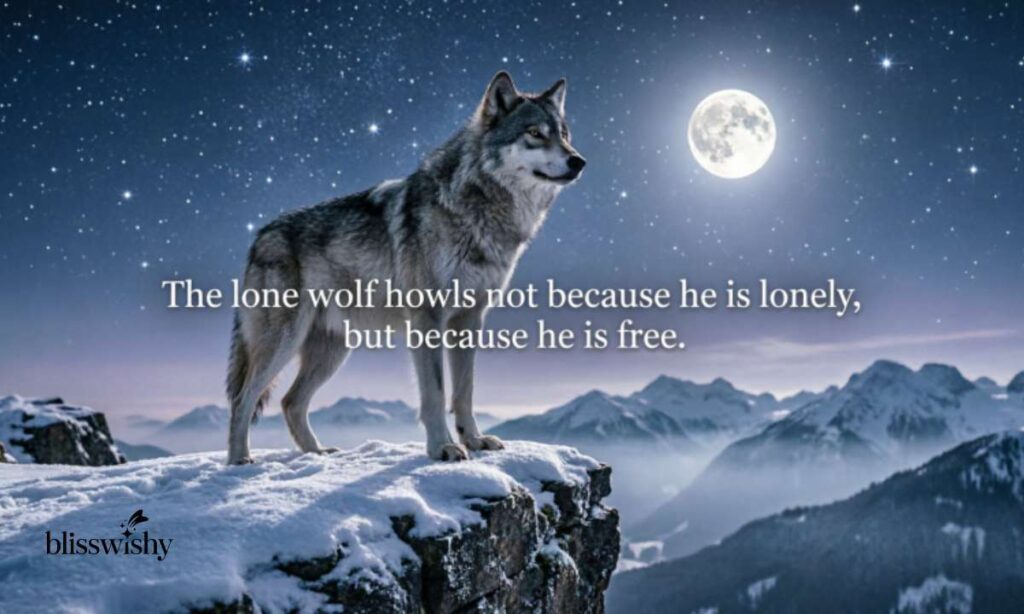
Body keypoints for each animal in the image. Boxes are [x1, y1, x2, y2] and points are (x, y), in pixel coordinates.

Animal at [225, 72, 585, 464]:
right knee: (243, 399)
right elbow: (436, 393)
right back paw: (239, 460)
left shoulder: (469, 319)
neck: (477, 206)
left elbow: (465, 390)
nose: (579, 162)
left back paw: (319, 454)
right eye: (535, 133)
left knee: (291, 402)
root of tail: (259, 236)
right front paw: (443, 447)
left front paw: (474, 440)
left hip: (333, 350)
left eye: (564, 134)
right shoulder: (428, 318)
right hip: (285, 341)